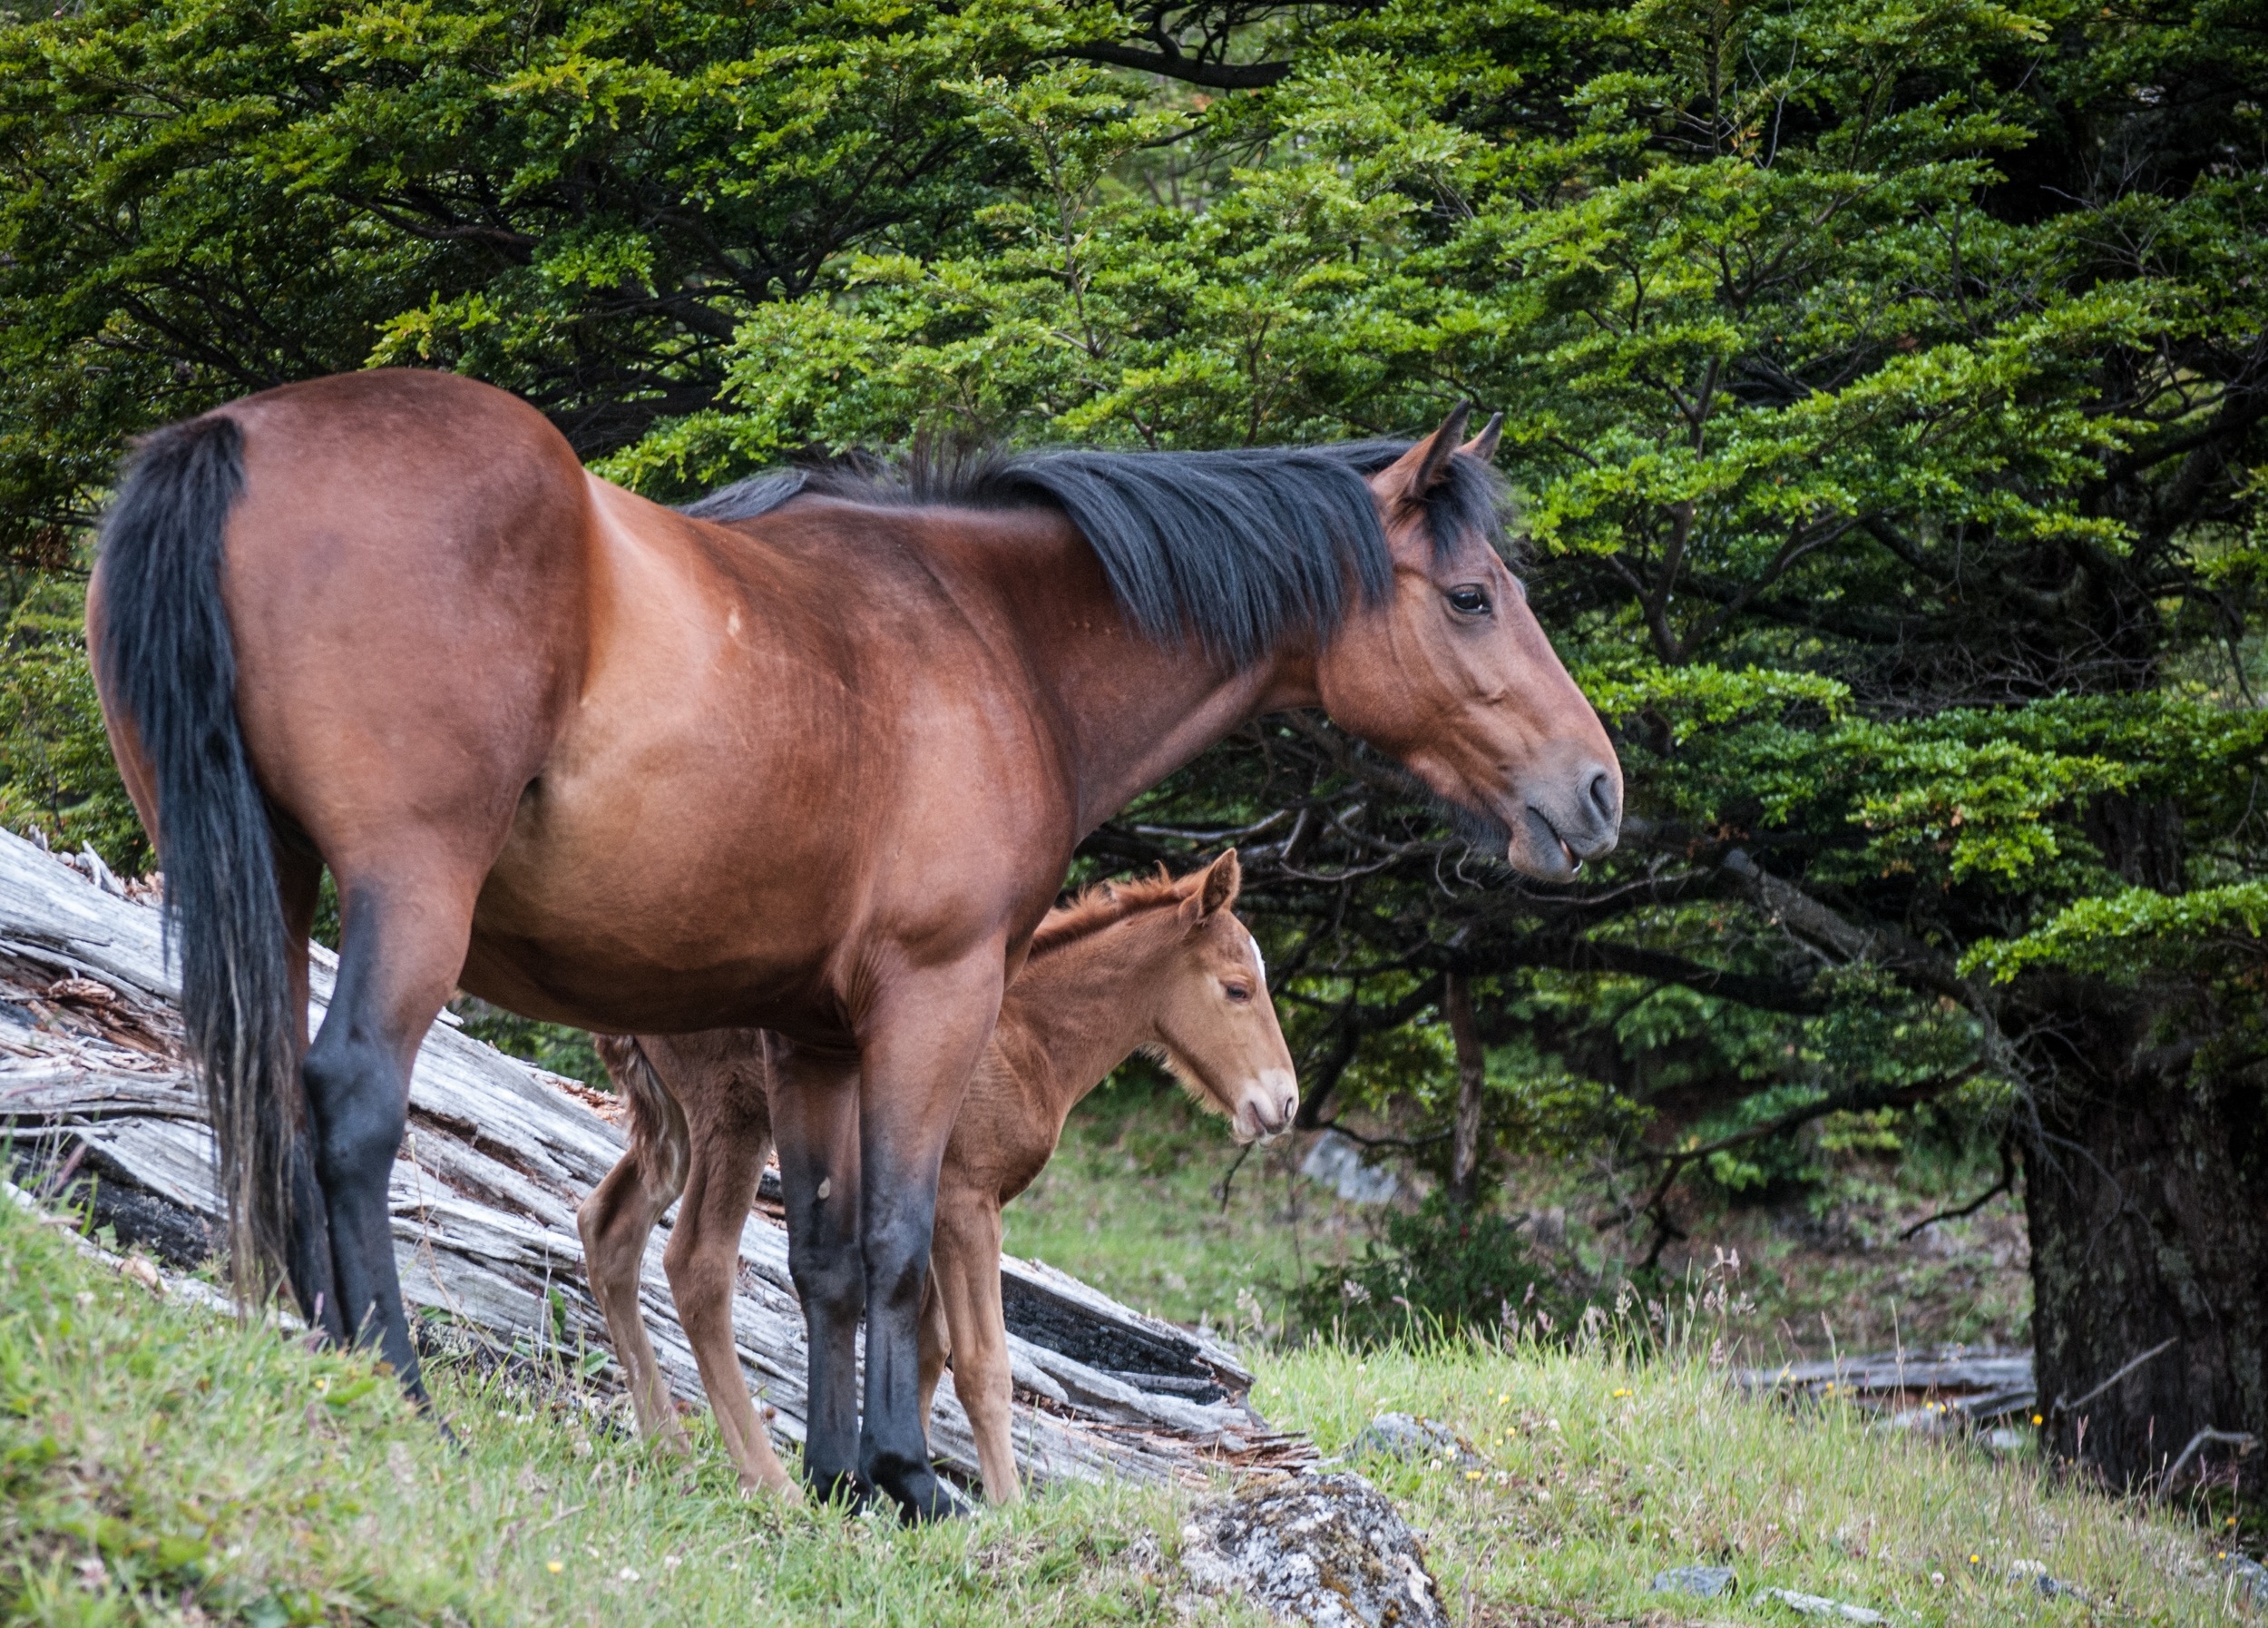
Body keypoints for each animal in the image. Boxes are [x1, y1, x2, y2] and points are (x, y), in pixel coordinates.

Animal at [581, 852, 1297, 1505]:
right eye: (1237, 987)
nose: (1283, 1103)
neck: (1027, 1040)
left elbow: (927, 1350)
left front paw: (900, 1486)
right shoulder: (967, 1200)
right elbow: (983, 1366)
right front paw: (1008, 1510)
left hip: (674, 1125)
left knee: (606, 1226)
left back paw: (668, 1446)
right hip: (732, 1116)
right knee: (696, 1266)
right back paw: (768, 1479)